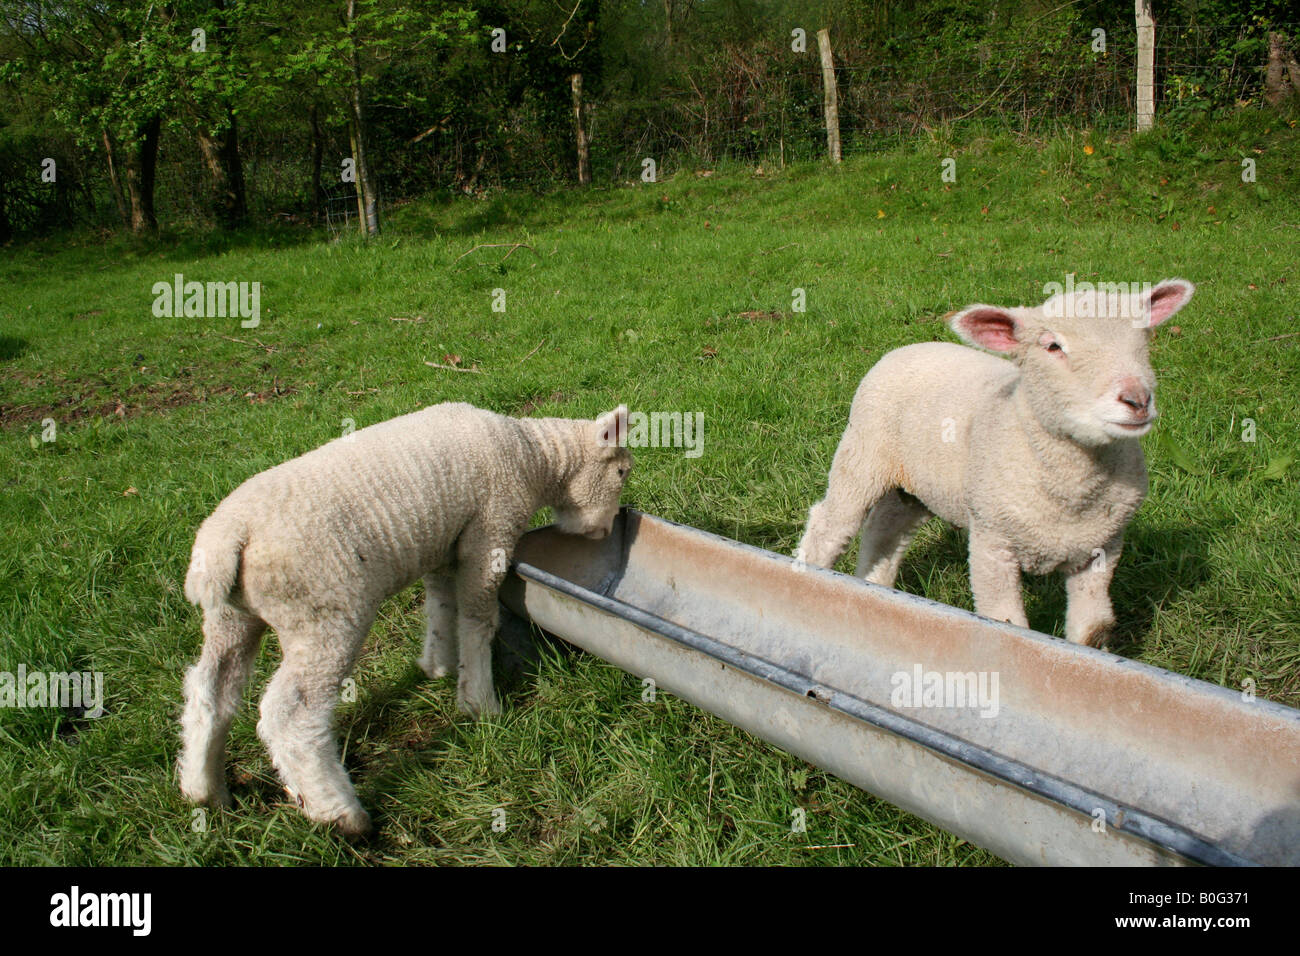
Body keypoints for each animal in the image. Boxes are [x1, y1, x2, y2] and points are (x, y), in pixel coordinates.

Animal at [179, 400, 634, 832]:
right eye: (622, 472)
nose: (608, 530)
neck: (532, 456)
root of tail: (226, 541)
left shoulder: (445, 545)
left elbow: (441, 604)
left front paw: (439, 665)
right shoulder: (490, 531)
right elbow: (477, 618)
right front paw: (480, 703)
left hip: (232, 616)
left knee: (210, 689)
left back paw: (204, 788)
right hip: (323, 613)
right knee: (290, 714)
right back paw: (339, 813)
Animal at [800, 280, 1196, 647]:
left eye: (1144, 337)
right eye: (1053, 346)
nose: (1137, 399)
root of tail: (909, 347)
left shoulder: (1103, 549)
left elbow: (1091, 631)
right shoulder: (993, 543)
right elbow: (1007, 624)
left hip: (916, 487)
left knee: (886, 530)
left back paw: (875, 587)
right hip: (862, 456)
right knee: (829, 526)